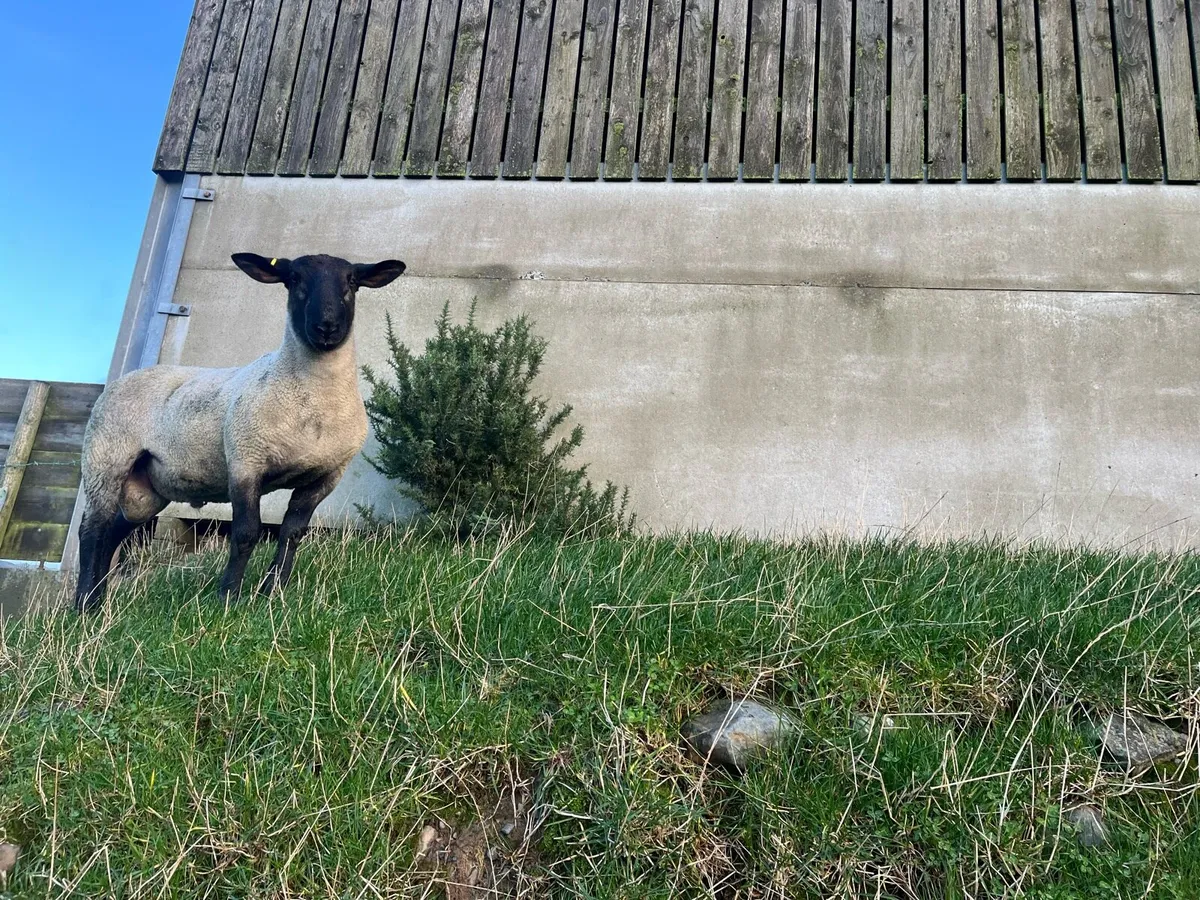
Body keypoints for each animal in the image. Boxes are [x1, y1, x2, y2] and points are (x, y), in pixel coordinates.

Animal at [74, 252, 406, 613]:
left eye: (352, 281)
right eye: (294, 279)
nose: (327, 326)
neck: (313, 404)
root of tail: (125, 378)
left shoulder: (326, 476)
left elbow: (292, 533)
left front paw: (272, 593)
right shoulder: (246, 462)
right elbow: (246, 533)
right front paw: (228, 597)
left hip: (148, 490)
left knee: (112, 532)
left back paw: (99, 602)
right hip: (105, 458)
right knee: (92, 530)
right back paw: (83, 607)